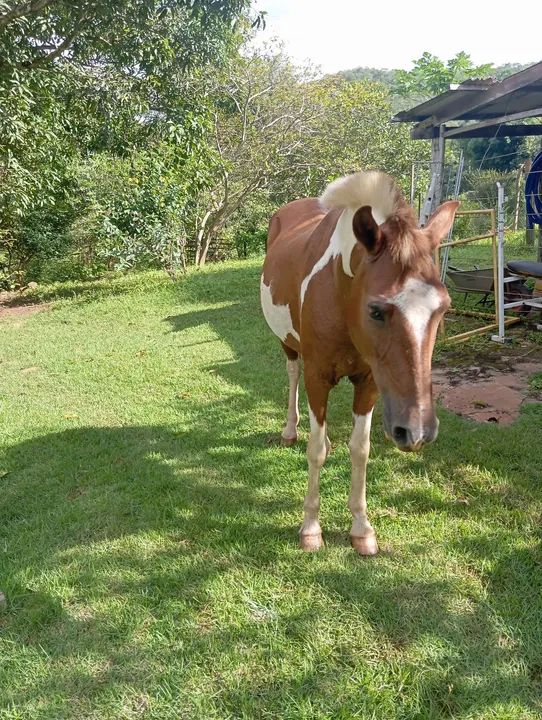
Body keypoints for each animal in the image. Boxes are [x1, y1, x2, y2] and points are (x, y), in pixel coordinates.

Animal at [260, 170, 459, 555]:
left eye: (443, 308)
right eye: (376, 310)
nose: (417, 431)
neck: (339, 291)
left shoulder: (368, 383)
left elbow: (360, 450)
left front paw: (362, 528)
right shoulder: (317, 377)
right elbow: (315, 452)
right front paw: (310, 527)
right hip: (289, 344)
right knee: (292, 374)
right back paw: (291, 430)